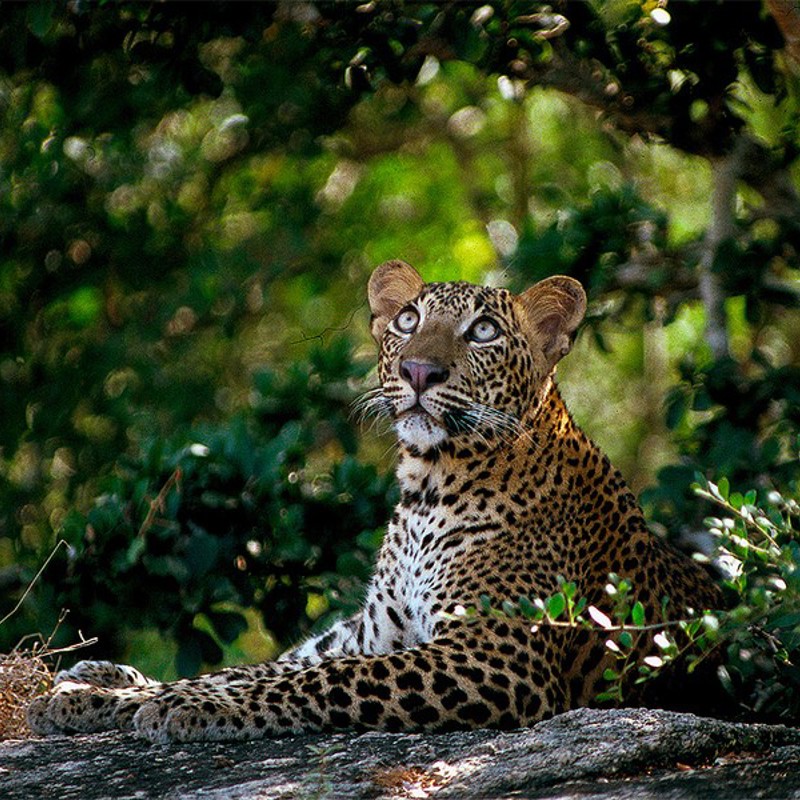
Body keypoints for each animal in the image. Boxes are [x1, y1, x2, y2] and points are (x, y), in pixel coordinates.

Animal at [27, 259, 722, 743]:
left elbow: (319, 680)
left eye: (484, 331)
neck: (427, 490)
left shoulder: (494, 654)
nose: (418, 371)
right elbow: (265, 667)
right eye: (407, 320)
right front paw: (104, 694)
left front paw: (188, 706)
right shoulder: (371, 632)